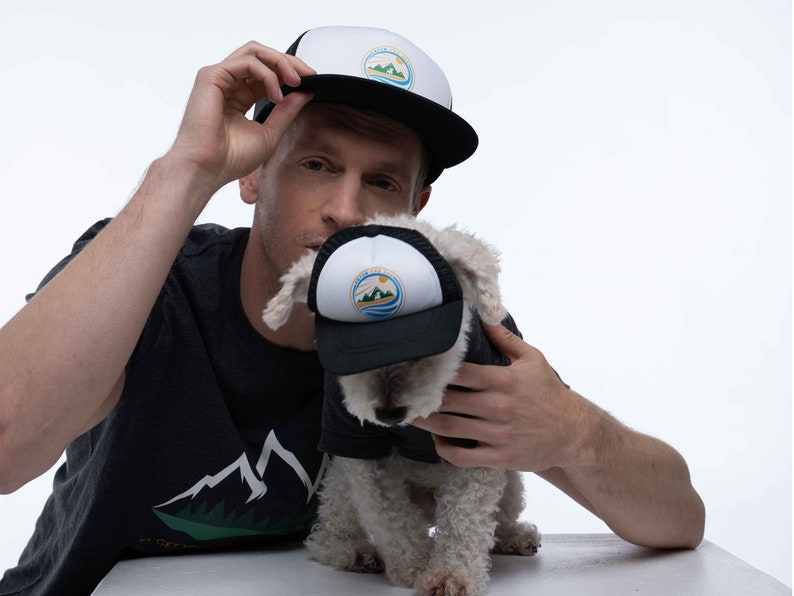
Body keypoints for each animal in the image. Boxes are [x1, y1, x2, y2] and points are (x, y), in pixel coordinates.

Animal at [262, 214, 540, 596]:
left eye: (427, 351)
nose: (388, 413)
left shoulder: (479, 443)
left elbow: (464, 517)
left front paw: (451, 574)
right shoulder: (359, 447)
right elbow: (392, 518)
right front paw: (417, 566)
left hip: (511, 482)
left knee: (499, 518)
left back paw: (514, 537)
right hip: (342, 486)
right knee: (327, 534)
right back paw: (355, 552)